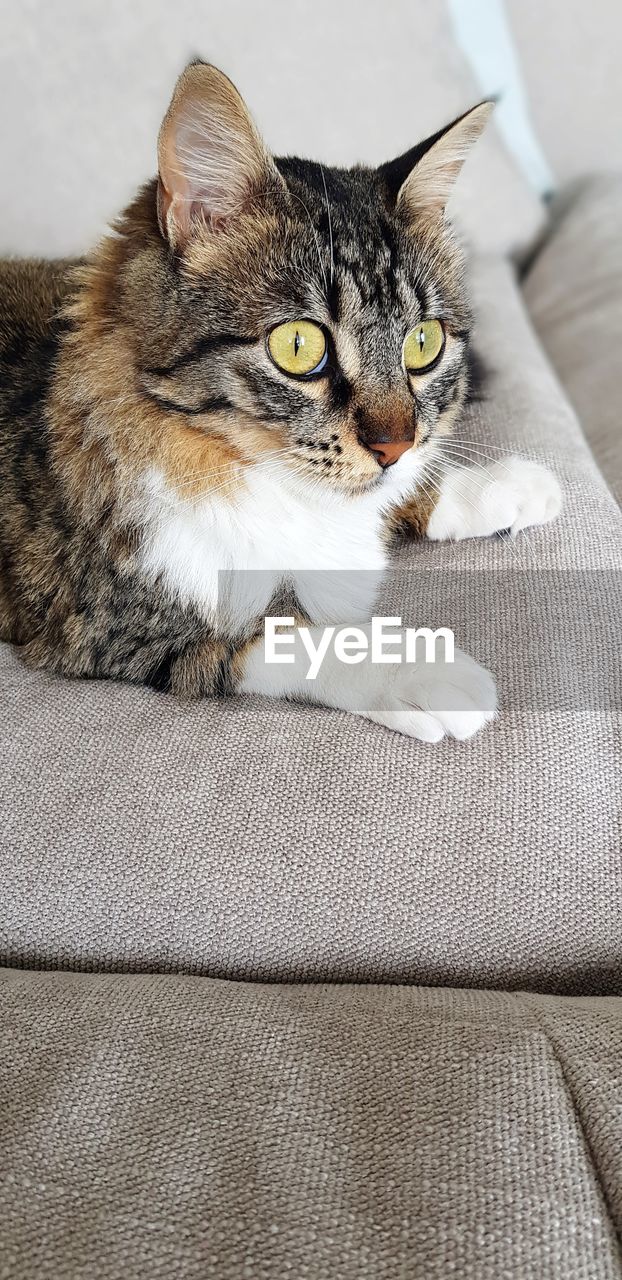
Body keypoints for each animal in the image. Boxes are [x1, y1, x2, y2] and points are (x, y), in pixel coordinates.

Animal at [0, 60, 563, 742]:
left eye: (423, 343)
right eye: (299, 346)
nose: (394, 447)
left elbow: (404, 495)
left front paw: (507, 487)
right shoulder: (119, 623)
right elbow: (295, 634)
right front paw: (421, 669)